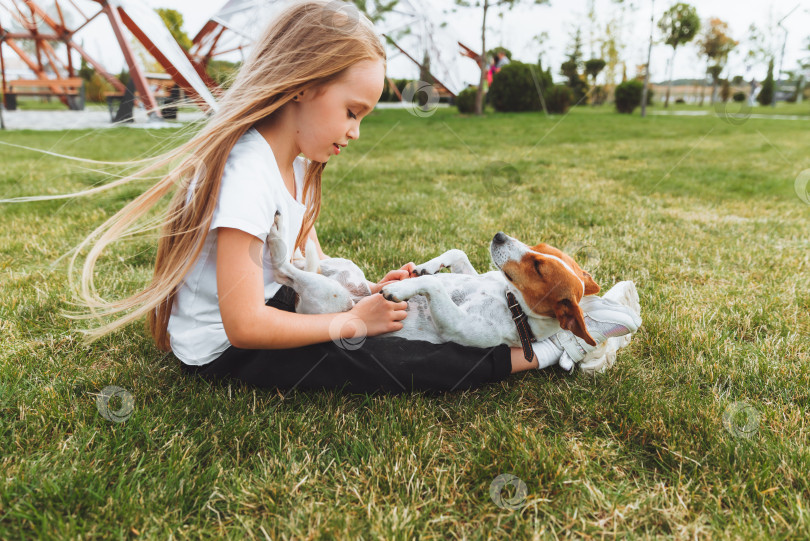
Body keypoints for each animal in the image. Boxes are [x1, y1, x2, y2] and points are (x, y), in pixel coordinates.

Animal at [266, 210, 636, 372]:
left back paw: (277, 235)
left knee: (285, 267)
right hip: (342, 270)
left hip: (331, 296)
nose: (499, 235)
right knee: (301, 263)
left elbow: (430, 286)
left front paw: (402, 287)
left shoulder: (455, 324)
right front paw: (425, 266)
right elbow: (456, 254)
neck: (510, 301)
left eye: (538, 267)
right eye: (540, 247)